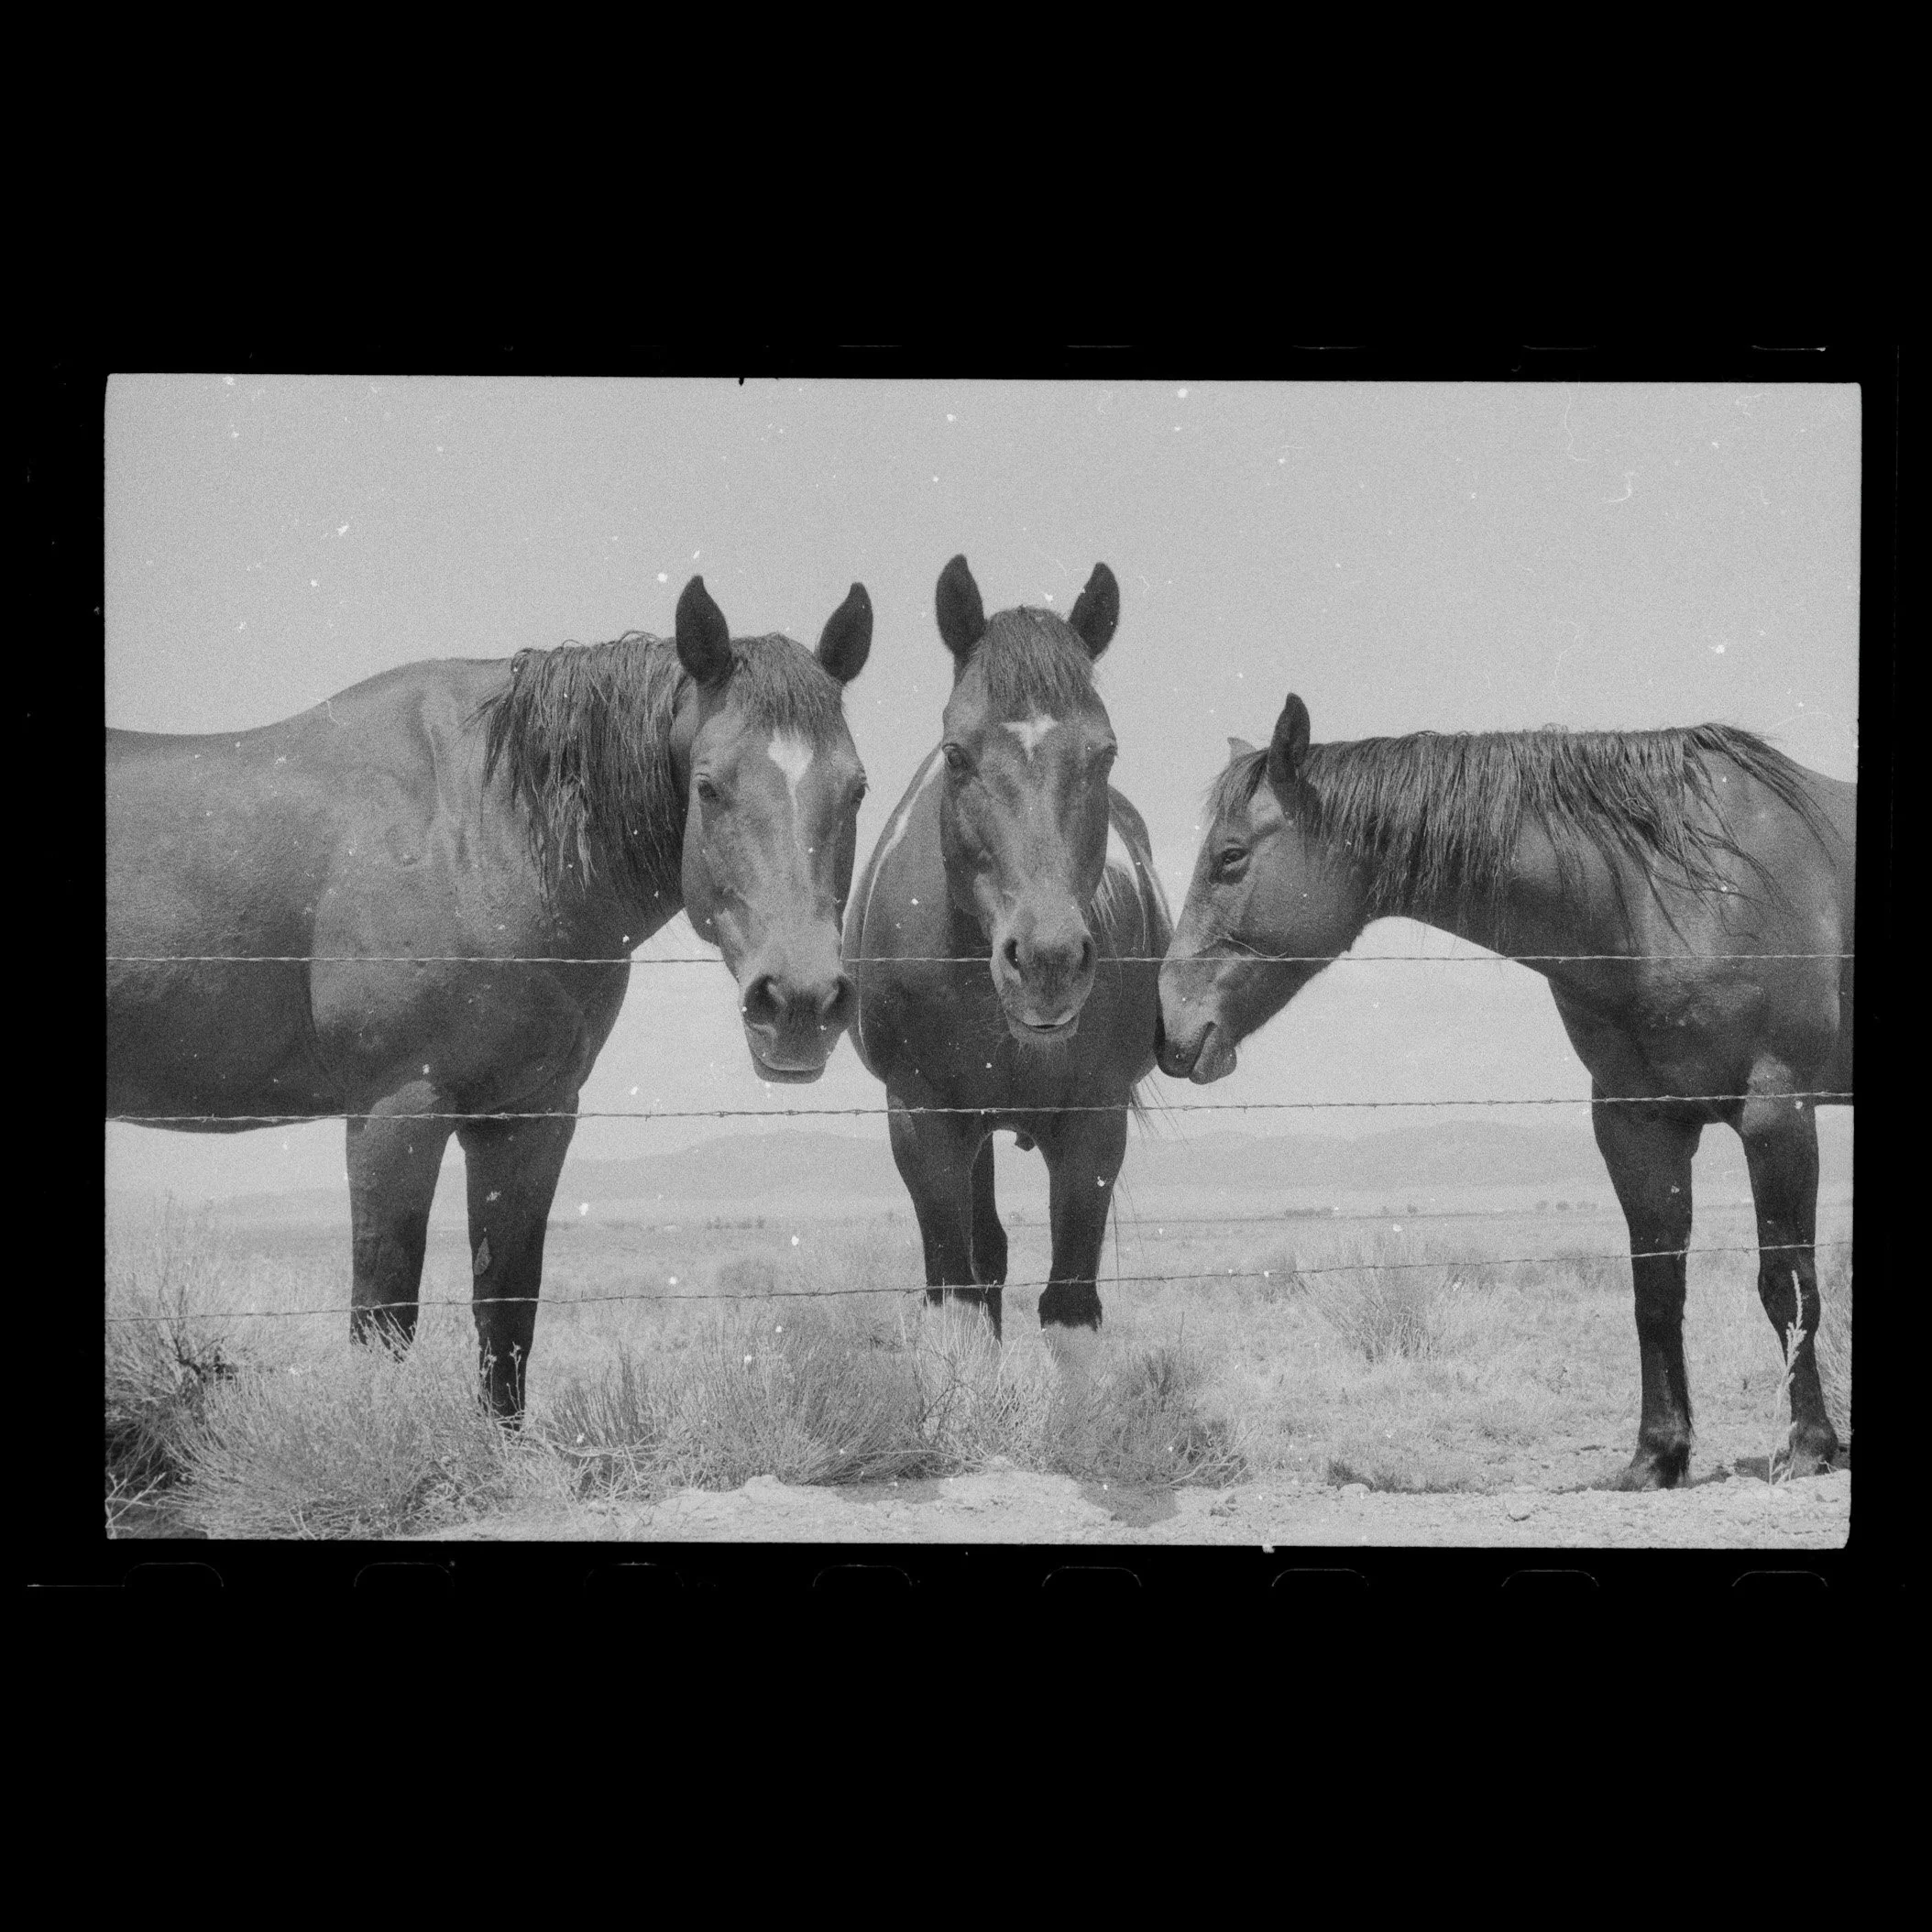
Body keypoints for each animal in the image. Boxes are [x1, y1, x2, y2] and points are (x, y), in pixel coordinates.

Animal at [108, 574, 874, 1417]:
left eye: (857, 788)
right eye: (709, 787)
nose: (800, 1004)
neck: (479, 831)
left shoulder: (527, 1117)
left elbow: (506, 1317)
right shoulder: (394, 1111)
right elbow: (383, 1319)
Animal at [843, 555, 1170, 1375]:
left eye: (1105, 752)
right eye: (957, 754)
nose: (1048, 960)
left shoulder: (1095, 1127)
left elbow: (1071, 1311)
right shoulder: (922, 1120)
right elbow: (958, 1300)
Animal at [1158, 694, 1854, 1489]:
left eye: (1231, 856)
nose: (1169, 1031)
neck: (1667, 890)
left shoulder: (1777, 1113)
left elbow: (1788, 1286)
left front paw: (1809, 1446)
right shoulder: (1636, 1123)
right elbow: (1655, 1293)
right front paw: (1657, 1456)